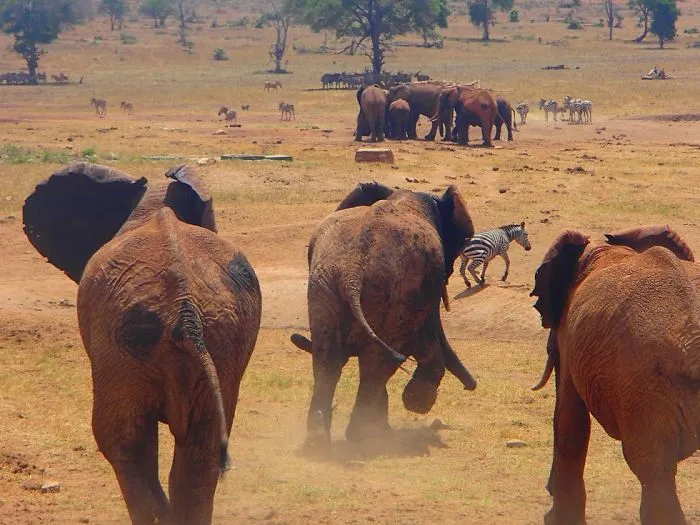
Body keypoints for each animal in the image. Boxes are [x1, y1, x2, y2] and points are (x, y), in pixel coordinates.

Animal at [288, 181, 478, 450]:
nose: (471, 386)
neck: (404, 195)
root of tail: (352, 273)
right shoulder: (425, 281)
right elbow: (427, 331)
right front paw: (418, 400)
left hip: (324, 286)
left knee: (328, 358)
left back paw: (319, 441)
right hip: (394, 292)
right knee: (379, 361)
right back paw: (363, 436)